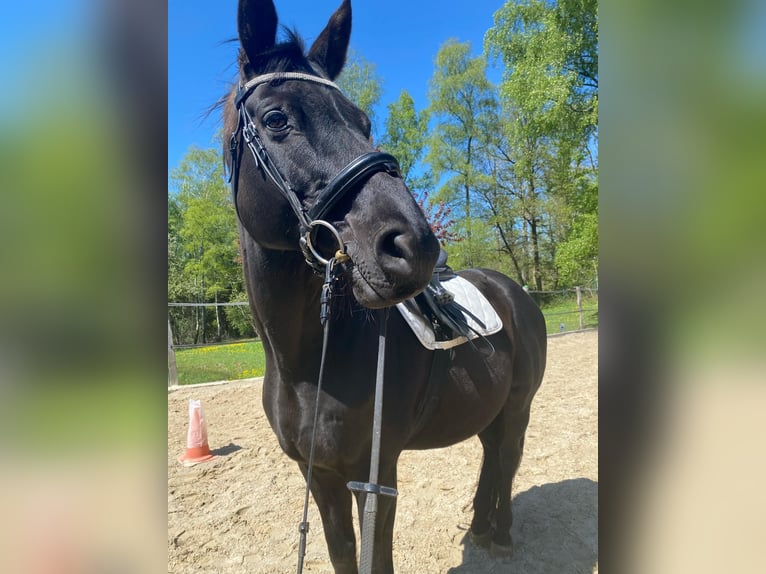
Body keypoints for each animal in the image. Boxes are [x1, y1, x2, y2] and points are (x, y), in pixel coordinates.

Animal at [223, 1, 547, 572]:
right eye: (277, 119)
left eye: (364, 122)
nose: (415, 245)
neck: (309, 363)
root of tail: (516, 294)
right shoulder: (319, 476)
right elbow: (341, 552)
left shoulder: (375, 478)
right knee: (491, 455)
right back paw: (481, 527)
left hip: (519, 408)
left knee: (508, 457)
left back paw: (502, 533)